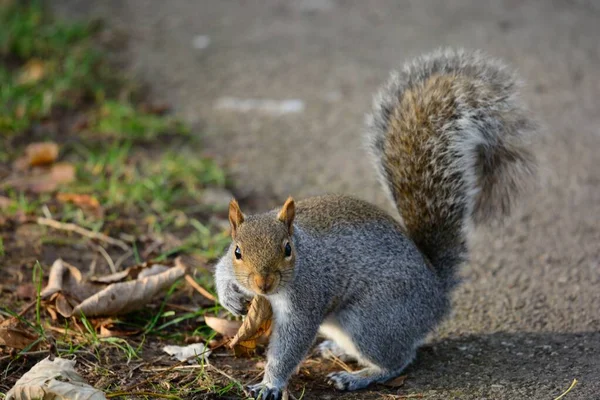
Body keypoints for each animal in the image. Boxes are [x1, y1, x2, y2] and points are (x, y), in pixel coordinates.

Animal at [213, 47, 536, 400]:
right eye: (237, 251)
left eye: (287, 249)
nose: (262, 285)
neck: (302, 251)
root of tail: (437, 293)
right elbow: (219, 270)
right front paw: (229, 297)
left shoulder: (307, 297)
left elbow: (291, 343)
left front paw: (270, 384)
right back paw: (335, 349)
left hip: (370, 320)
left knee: (398, 360)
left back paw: (358, 376)